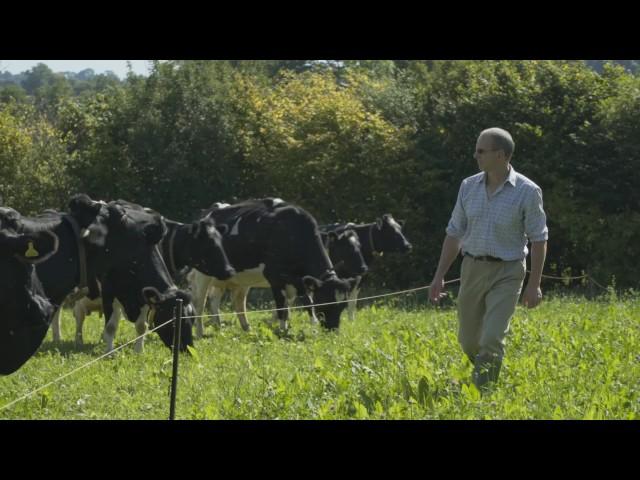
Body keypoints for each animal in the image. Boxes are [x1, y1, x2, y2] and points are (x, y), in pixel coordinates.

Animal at [0, 193, 192, 354]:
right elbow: (111, 325)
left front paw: (138, 351)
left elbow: (141, 326)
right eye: (175, 319)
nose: (187, 349)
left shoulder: (143, 296)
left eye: (190, 318)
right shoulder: (109, 291)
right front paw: (109, 352)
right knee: (73, 317)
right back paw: (67, 339)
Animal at [188, 197, 358, 332]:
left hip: (237, 278)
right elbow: (282, 305)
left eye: (342, 306)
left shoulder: (299, 280)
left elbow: (302, 303)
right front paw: (283, 330)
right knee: (200, 302)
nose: (333, 329)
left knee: (235, 301)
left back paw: (243, 328)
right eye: (325, 302)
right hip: (203, 274)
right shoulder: (274, 276)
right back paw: (200, 332)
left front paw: (309, 326)